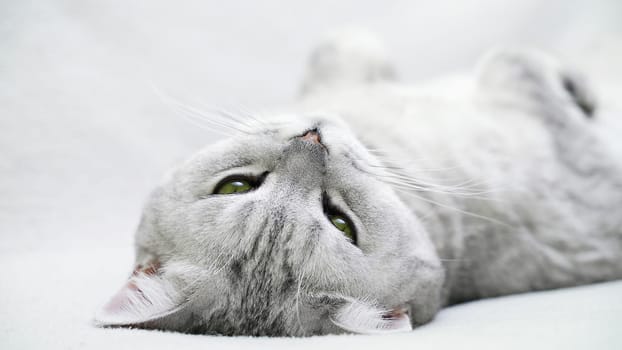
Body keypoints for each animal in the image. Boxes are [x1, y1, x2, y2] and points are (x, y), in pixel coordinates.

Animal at [94, 30, 622, 336]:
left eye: (235, 186)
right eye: (341, 223)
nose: (313, 138)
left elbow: (350, 44)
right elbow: (515, 60)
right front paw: (578, 86)